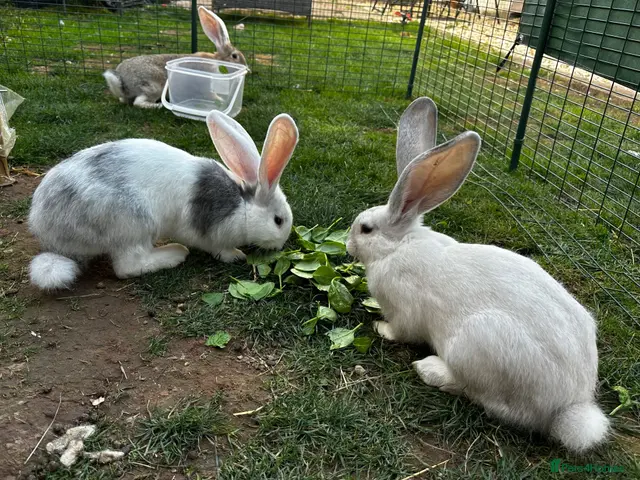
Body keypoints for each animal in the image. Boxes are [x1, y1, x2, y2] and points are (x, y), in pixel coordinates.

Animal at [28, 110, 298, 290]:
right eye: (278, 220)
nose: (280, 245)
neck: (242, 206)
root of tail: (45, 229)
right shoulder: (210, 233)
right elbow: (218, 249)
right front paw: (236, 255)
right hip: (133, 224)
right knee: (128, 266)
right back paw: (175, 253)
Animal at [103, 6, 247, 109]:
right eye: (235, 56)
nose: (247, 68)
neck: (217, 61)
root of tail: (123, 84)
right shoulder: (207, 86)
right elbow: (213, 96)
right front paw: (221, 100)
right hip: (153, 87)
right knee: (138, 102)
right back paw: (157, 105)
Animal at [346, 97, 610, 453]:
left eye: (366, 229)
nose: (348, 246)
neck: (397, 246)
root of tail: (569, 407)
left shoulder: (404, 310)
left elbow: (402, 330)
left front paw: (380, 327)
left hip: (475, 347)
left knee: (487, 399)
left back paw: (430, 370)